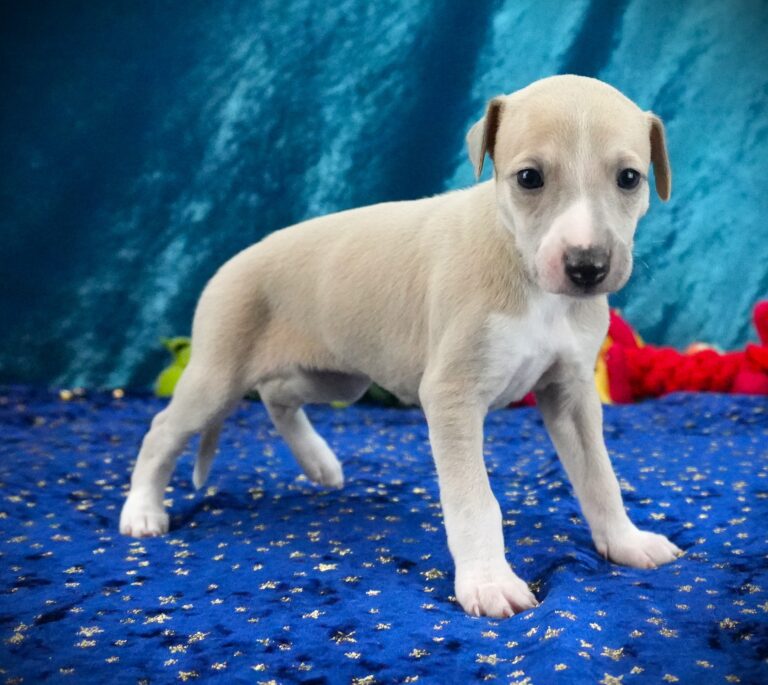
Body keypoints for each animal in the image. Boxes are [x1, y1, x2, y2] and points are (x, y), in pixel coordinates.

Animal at [120, 75, 681, 618]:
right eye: (529, 178)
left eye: (629, 178)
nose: (588, 267)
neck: (524, 268)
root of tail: (232, 263)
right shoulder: (452, 397)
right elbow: (475, 500)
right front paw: (489, 583)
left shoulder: (570, 395)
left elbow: (600, 477)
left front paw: (626, 541)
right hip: (218, 374)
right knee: (163, 429)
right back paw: (143, 510)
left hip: (336, 377)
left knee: (277, 396)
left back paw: (319, 463)